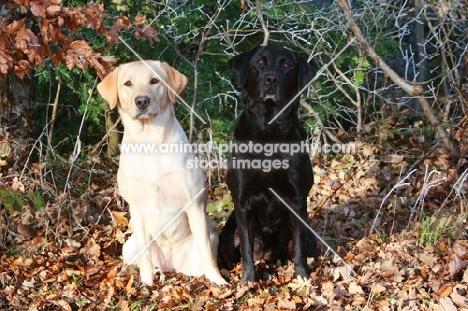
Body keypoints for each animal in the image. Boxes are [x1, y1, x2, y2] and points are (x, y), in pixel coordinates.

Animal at [98, 59, 226, 286]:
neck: (150, 143)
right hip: (129, 245)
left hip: (210, 233)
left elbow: (207, 255)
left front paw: (218, 280)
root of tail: (170, 263)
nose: (142, 101)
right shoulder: (136, 209)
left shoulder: (194, 205)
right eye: (127, 83)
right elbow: (145, 257)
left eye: (154, 81)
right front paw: (146, 282)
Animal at [218, 45, 316, 282]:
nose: (271, 79)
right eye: (259, 62)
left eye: (287, 65)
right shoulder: (242, 200)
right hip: (227, 238)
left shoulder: (297, 199)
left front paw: (302, 278)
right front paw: (248, 281)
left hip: (312, 239)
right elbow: (246, 249)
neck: (268, 132)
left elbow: (299, 247)